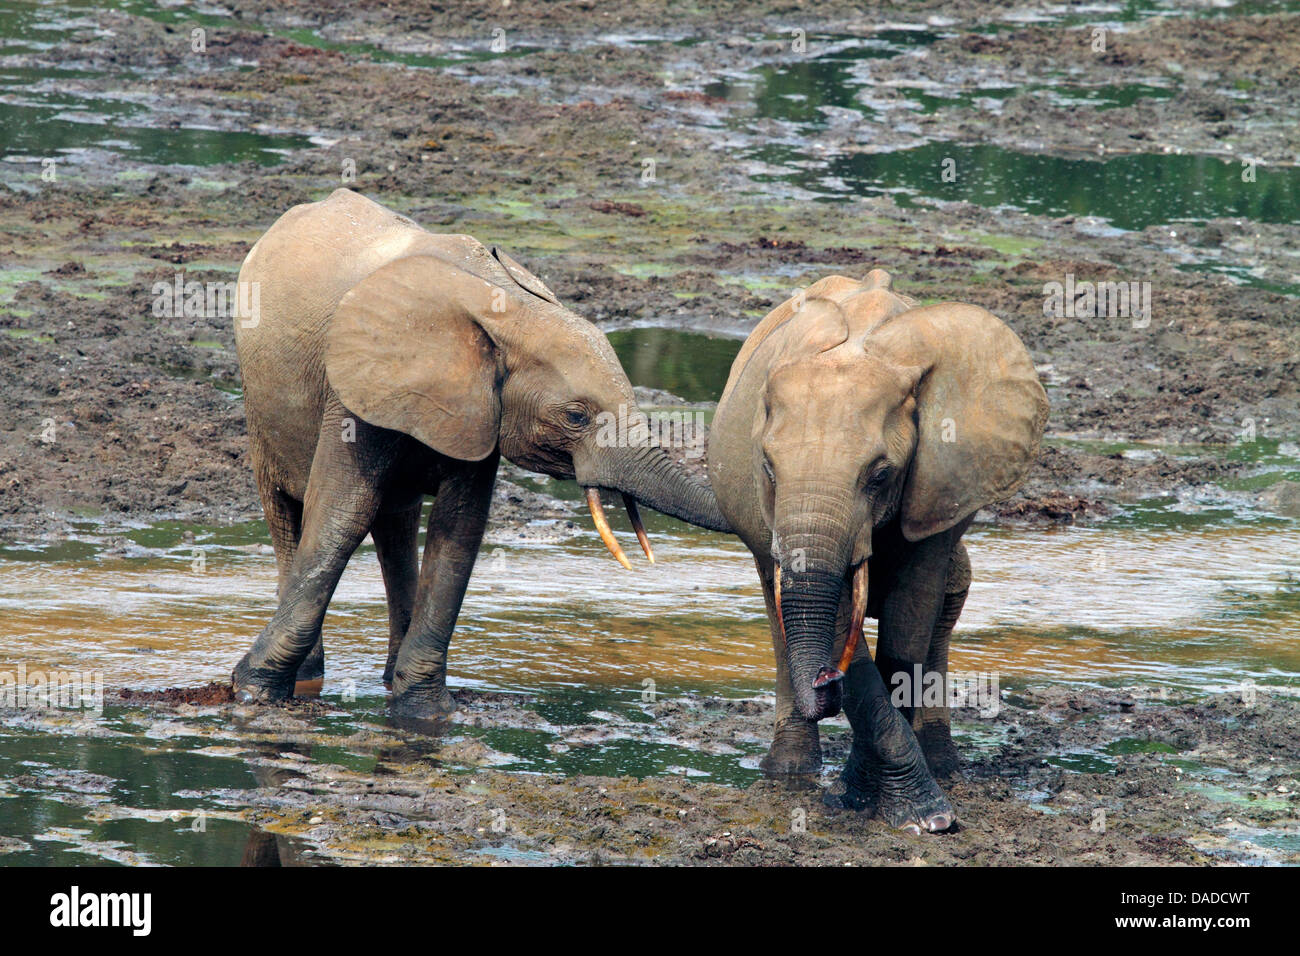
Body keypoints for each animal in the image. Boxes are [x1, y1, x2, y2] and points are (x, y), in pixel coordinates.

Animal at [228, 188, 728, 717]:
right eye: (576, 417)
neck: (509, 309)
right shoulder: (356, 388)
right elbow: (342, 515)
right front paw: (253, 692)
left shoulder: (481, 408)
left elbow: (460, 528)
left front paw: (425, 711)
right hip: (262, 404)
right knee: (288, 510)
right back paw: (308, 676)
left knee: (396, 521)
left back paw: (385, 676)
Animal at [707, 267, 1050, 832]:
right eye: (769, 468)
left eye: (881, 475)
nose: (826, 681)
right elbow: (839, 619)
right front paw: (904, 809)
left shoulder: (937, 479)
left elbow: (906, 630)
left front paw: (897, 804)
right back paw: (790, 773)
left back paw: (943, 765)